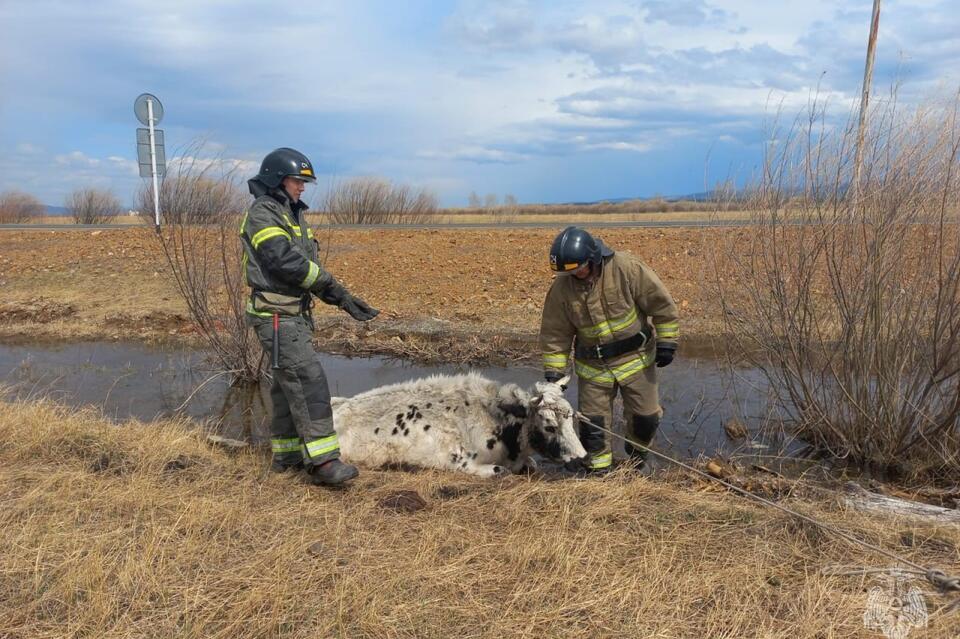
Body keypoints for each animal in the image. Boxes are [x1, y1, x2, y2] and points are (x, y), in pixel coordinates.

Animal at [330, 372, 584, 478]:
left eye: (571, 419)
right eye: (549, 425)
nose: (582, 457)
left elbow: (533, 464)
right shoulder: (461, 463)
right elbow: (500, 472)